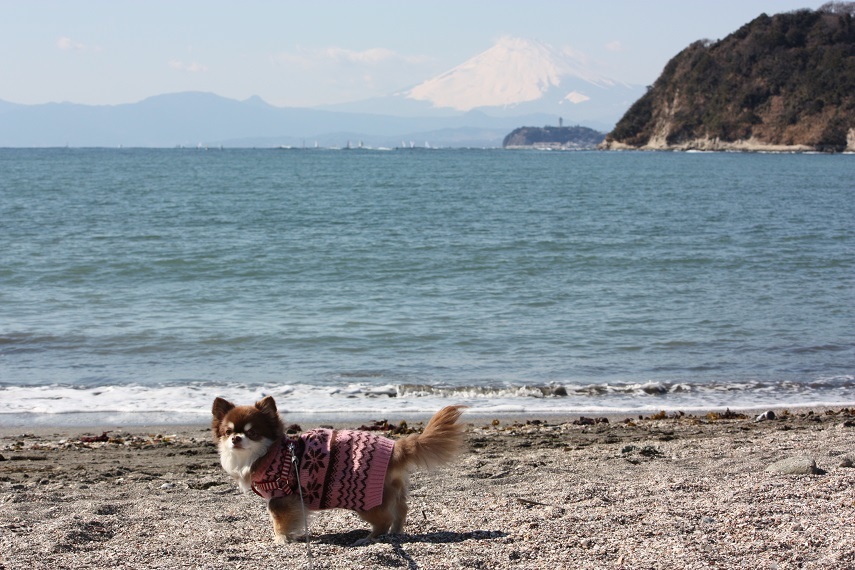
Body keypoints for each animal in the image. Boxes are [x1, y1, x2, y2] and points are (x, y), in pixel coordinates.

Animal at [214, 394, 468, 540]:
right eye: (228, 432)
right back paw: (396, 533)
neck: (269, 453)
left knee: (384, 518)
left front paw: (281, 540)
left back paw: (370, 539)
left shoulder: (280, 499)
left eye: (252, 433)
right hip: (392, 491)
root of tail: (395, 448)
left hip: (365, 501)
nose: (235, 438)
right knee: (401, 510)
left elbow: (279, 524)